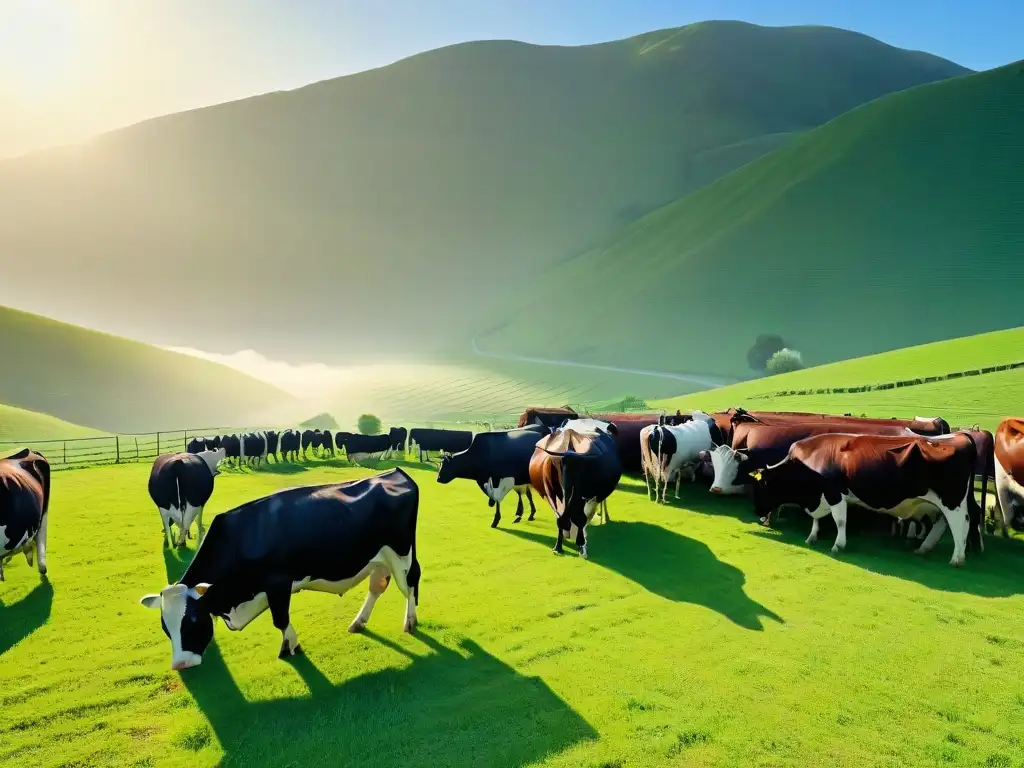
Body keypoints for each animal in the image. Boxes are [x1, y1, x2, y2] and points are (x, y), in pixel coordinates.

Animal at [140, 466, 419, 671]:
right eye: (165, 627)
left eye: (193, 620)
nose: (180, 664)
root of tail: (394, 472)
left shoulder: (278, 584)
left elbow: (280, 620)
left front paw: (290, 647)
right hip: (378, 557)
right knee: (378, 585)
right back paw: (359, 622)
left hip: (402, 553)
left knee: (410, 582)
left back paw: (410, 622)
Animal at [753, 436, 983, 569]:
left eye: (763, 486)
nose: (757, 512)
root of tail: (962, 436)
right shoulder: (821, 497)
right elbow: (816, 520)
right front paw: (812, 537)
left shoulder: (835, 493)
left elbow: (840, 521)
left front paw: (838, 545)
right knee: (946, 522)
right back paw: (926, 548)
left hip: (952, 501)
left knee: (960, 523)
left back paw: (957, 557)